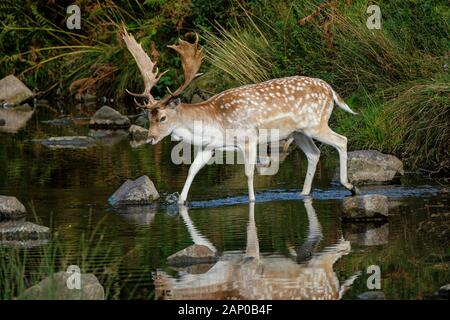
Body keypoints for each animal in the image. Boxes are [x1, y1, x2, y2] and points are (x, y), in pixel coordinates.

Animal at [120, 26, 358, 204]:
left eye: (163, 118)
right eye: (149, 117)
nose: (150, 139)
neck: (215, 122)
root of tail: (331, 90)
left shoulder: (248, 138)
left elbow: (249, 173)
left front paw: (252, 201)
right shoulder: (210, 146)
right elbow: (192, 170)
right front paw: (180, 201)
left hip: (315, 123)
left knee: (341, 140)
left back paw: (350, 185)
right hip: (299, 132)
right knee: (314, 154)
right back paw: (304, 193)